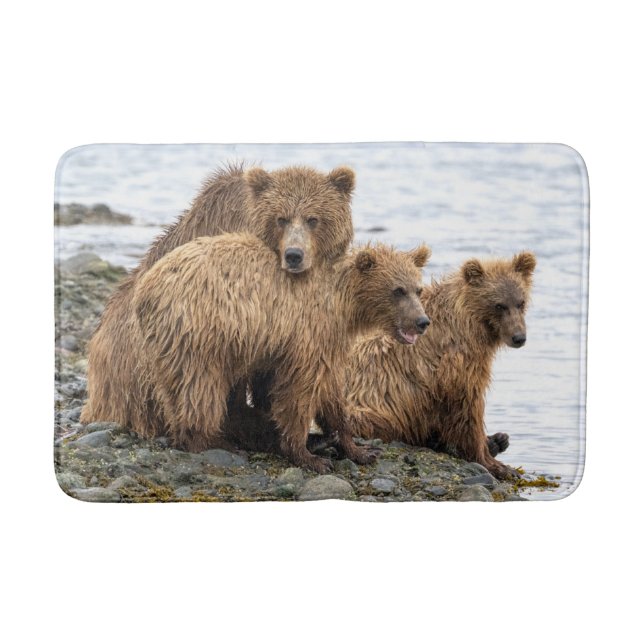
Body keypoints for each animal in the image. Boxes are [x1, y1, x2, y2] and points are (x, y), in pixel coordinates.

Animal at [132, 235, 431, 472]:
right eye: (397, 290)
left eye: (418, 289)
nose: (422, 321)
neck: (344, 305)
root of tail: (144, 288)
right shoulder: (307, 333)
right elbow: (299, 390)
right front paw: (308, 456)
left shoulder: (329, 342)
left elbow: (332, 393)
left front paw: (359, 449)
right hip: (200, 332)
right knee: (200, 387)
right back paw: (215, 440)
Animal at [345, 251, 536, 480]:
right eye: (499, 305)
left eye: (520, 302)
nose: (519, 337)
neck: (469, 324)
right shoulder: (455, 365)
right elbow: (467, 409)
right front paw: (497, 465)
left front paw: (494, 445)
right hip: (368, 409)